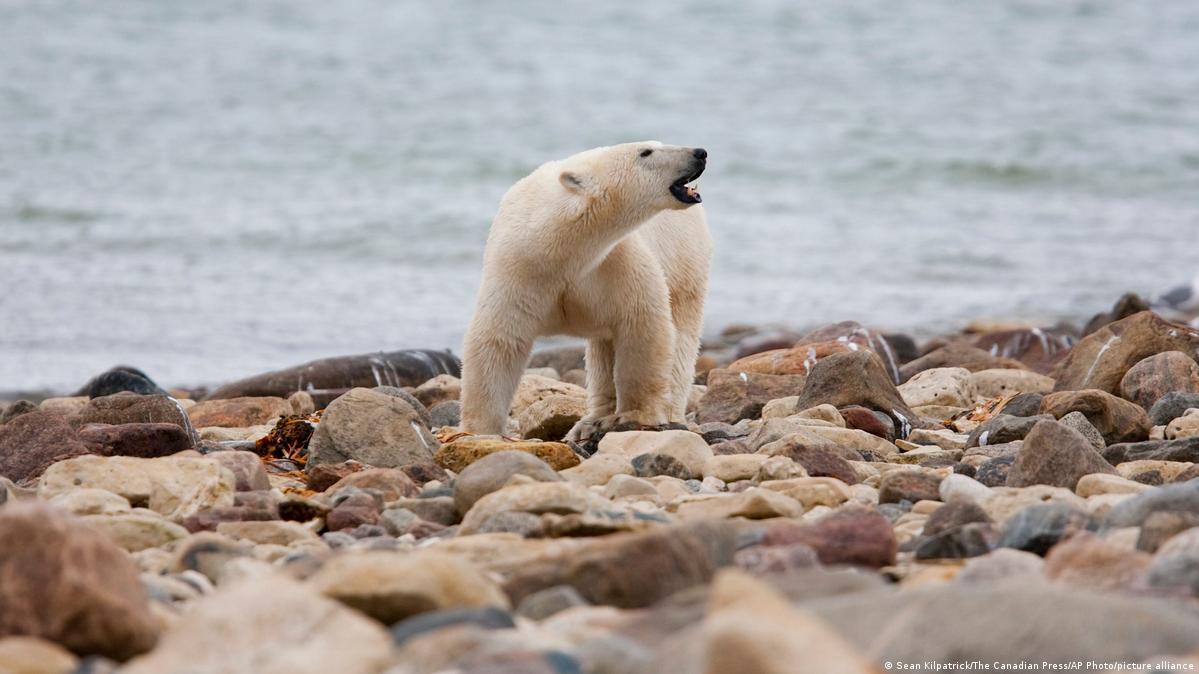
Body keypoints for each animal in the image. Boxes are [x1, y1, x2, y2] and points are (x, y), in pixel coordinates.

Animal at [460, 141, 712, 441]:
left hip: (685, 263)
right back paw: (591, 421)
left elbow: (642, 325)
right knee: (602, 350)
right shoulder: (519, 270)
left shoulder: (615, 263)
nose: (699, 152)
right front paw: (479, 430)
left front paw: (636, 414)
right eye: (646, 152)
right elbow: (500, 340)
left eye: (657, 144)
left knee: (681, 338)